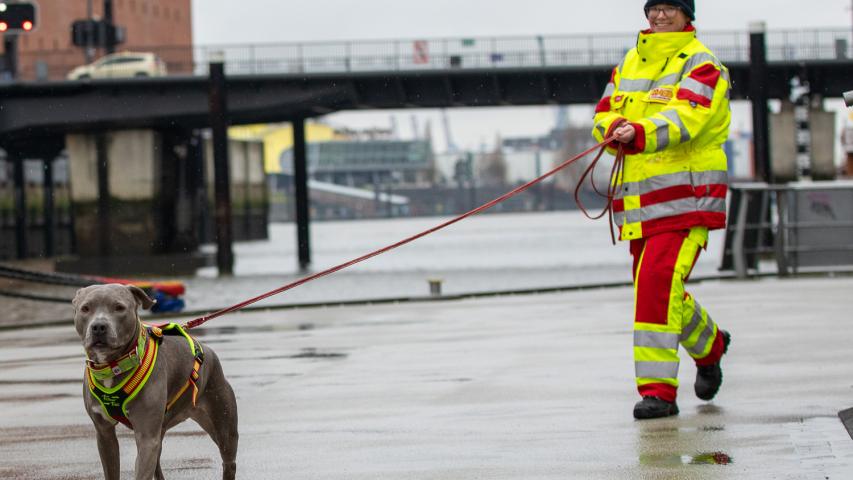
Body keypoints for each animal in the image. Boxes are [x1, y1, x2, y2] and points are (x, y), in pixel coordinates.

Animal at [74, 284, 238, 480]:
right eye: (85, 308)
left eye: (119, 307)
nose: (98, 326)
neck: (113, 365)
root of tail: (210, 352)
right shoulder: (104, 433)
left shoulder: (146, 436)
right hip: (161, 429)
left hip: (223, 426)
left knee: (228, 460)